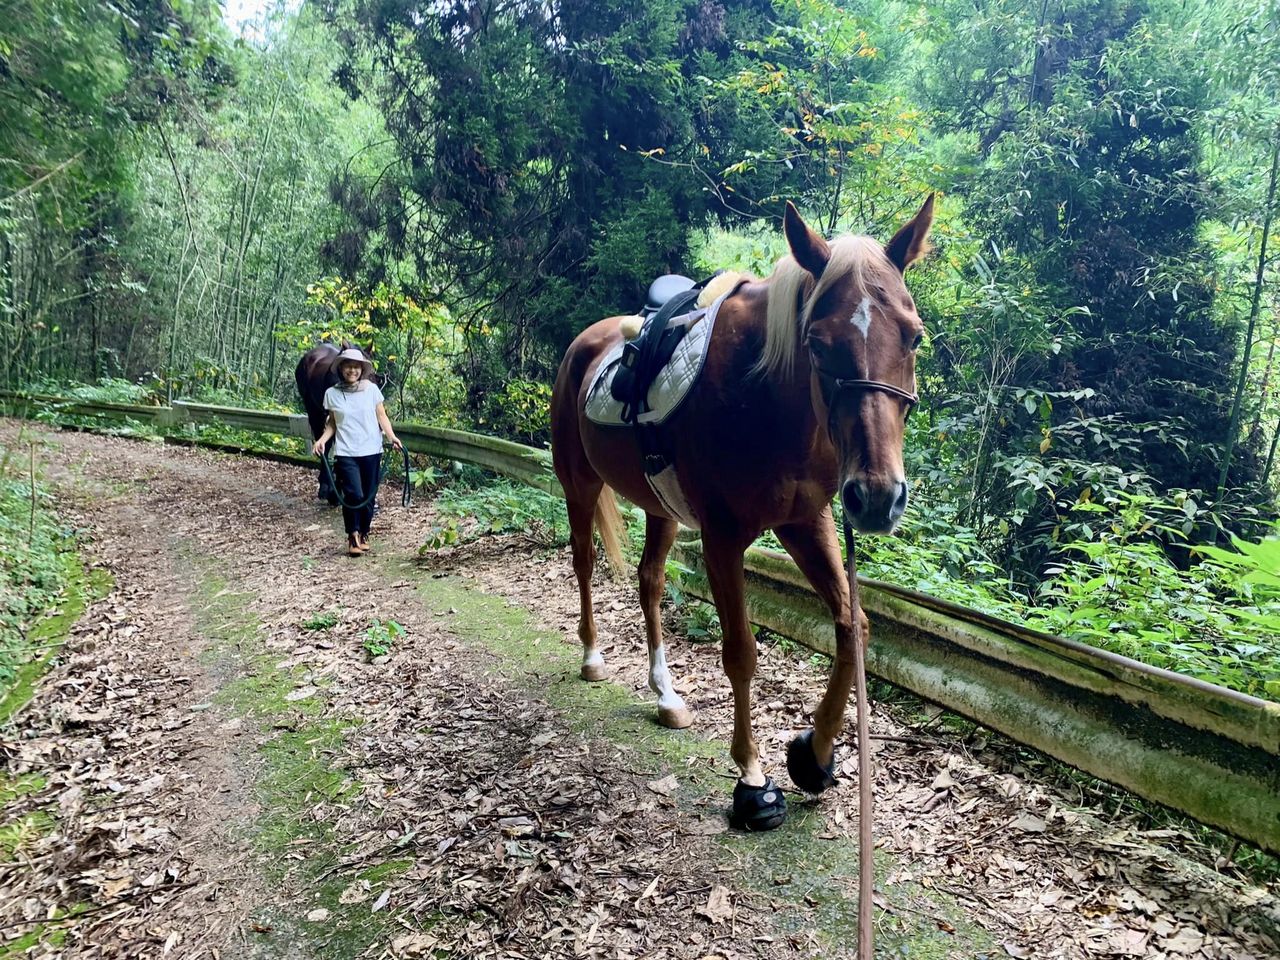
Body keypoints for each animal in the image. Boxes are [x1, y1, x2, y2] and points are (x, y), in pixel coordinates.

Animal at [550, 197, 934, 831]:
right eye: (817, 343)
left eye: (914, 337)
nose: (877, 498)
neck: (767, 399)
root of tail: (585, 341)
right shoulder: (723, 539)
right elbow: (741, 653)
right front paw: (752, 780)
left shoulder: (808, 522)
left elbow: (853, 625)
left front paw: (813, 755)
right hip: (578, 486)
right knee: (583, 564)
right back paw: (592, 657)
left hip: (661, 507)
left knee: (650, 581)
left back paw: (666, 696)